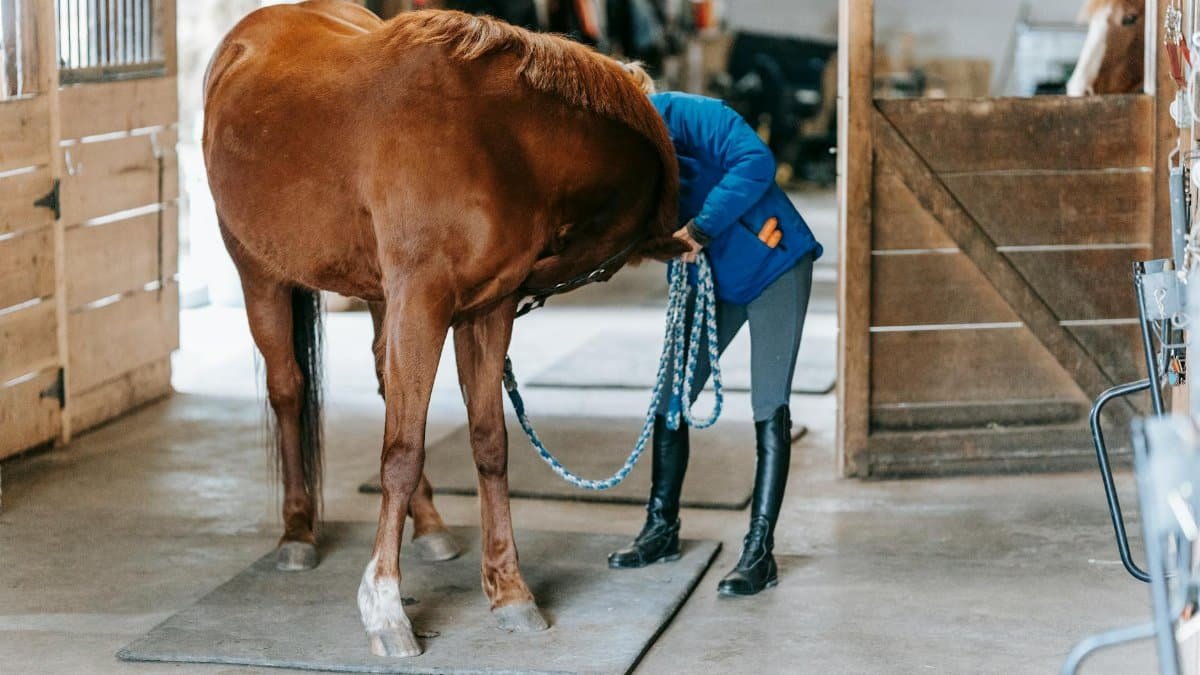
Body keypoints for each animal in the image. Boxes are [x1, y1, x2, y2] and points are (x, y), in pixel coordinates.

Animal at [203, 0, 684, 657]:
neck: (501, 139)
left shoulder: (486, 310)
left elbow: (488, 443)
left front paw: (509, 591)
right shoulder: (425, 302)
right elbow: (401, 451)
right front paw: (385, 610)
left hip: (380, 298)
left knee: (386, 387)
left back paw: (428, 525)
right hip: (261, 275)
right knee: (288, 390)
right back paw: (298, 533)